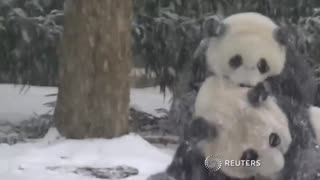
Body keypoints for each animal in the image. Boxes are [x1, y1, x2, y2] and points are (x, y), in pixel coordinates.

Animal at [149, 12, 320, 180]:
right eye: (235, 60)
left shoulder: (291, 72)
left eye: (262, 64)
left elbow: (298, 97)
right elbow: (184, 101)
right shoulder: (200, 63)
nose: (246, 84)